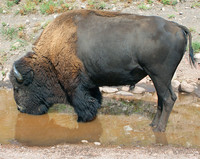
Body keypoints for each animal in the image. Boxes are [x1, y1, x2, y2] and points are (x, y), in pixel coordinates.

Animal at [9, 9, 194, 132]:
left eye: (18, 88)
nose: (20, 109)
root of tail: (177, 27)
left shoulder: (75, 84)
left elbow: (82, 102)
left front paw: (83, 119)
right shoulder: (90, 83)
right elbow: (95, 99)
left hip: (158, 76)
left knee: (167, 99)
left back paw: (159, 129)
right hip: (162, 79)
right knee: (164, 99)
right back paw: (153, 124)